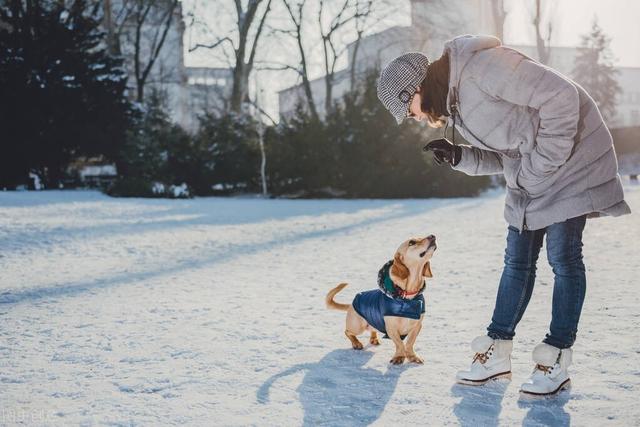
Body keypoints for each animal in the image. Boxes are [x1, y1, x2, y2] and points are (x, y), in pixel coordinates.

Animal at [324, 236, 436, 366]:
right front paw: (399, 357)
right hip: (358, 326)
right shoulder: (391, 329)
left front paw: (412, 357)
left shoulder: (417, 326)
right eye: (412, 242)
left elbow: (409, 343)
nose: (433, 236)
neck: (407, 297)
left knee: (372, 330)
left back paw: (374, 338)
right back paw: (356, 343)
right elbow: (399, 344)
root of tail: (351, 305)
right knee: (347, 332)